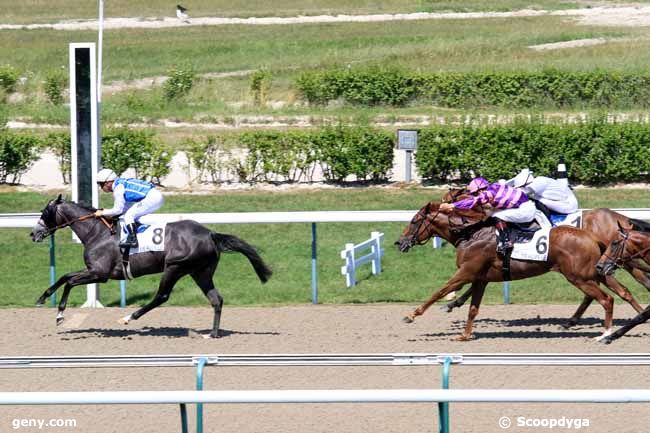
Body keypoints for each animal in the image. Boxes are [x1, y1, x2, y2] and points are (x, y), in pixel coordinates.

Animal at [27, 196, 270, 338]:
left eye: (44, 212)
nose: (33, 233)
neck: (97, 232)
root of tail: (210, 233)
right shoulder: (94, 271)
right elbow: (64, 276)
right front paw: (42, 298)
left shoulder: (100, 273)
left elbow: (69, 281)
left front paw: (60, 315)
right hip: (200, 272)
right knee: (216, 299)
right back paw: (213, 333)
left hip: (175, 267)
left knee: (162, 296)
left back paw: (128, 317)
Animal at [394, 201, 632, 340]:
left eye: (414, 221)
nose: (399, 242)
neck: (471, 234)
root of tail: (592, 237)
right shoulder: (480, 278)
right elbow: (473, 308)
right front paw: (465, 335)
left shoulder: (466, 272)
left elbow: (440, 291)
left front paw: (411, 315)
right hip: (595, 272)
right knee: (618, 293)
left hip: (579, 277)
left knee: (606, 299)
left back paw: (605, 333)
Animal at [438, 187, 644, 322]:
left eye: (445, 199)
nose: (442, 207)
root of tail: (620, 217)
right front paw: (451, 303)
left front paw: (451, 303)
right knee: (623, 287)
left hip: (613, 261)